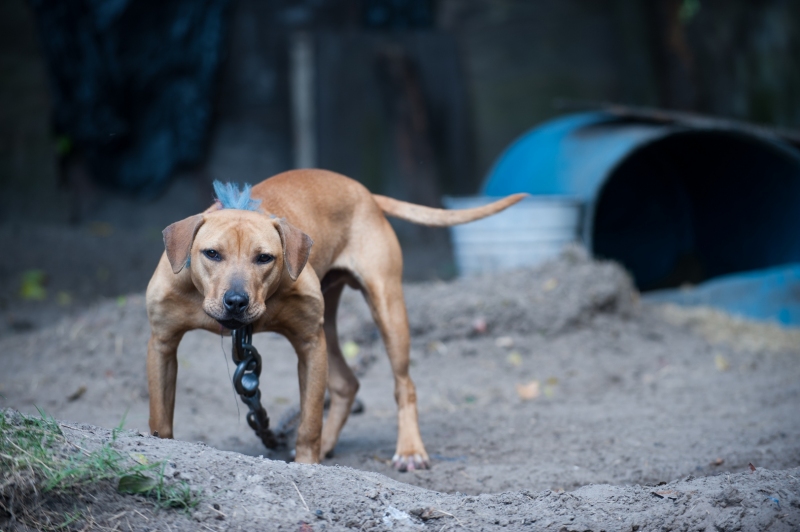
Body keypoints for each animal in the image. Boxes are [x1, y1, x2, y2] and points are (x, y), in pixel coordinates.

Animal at [148, 169, 528, 470]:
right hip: (329, 323)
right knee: (347, 384)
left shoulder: (309, 345)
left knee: (403, 385)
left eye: (264, 258)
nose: (237, 301)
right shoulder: (162, 344)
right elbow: (160, 417)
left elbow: (309, 423)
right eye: (212, 253)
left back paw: (409, 451)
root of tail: (363, 191)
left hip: (386, 308)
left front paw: (307, 464)